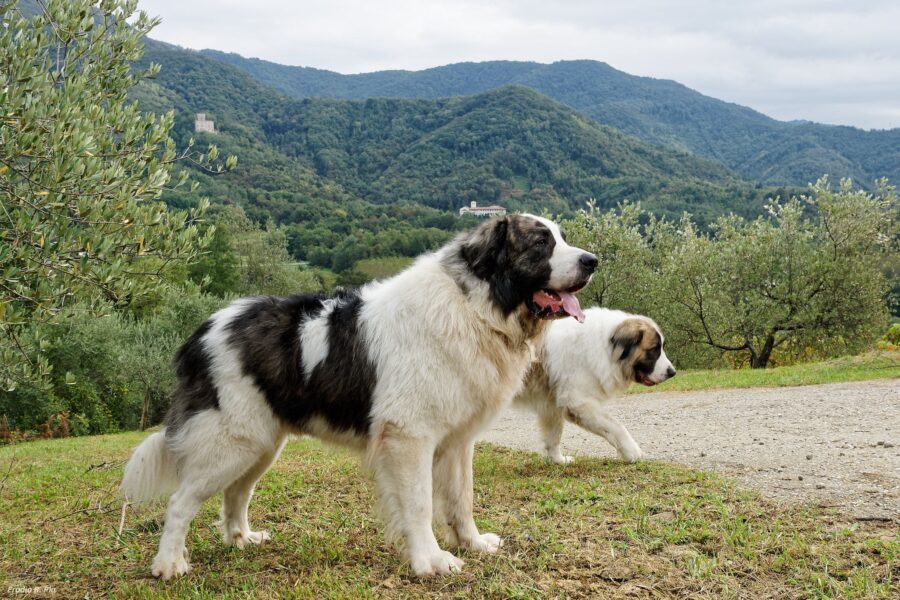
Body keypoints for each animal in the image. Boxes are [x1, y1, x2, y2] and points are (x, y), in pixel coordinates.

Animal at [121, 214, 596, 576]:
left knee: (235, 495)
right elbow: (420, 504)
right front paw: (430, 561)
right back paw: (168, 565)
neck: (474, 307)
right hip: (230, 442)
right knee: (181, 502)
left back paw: (242, 539)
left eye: (562, 237)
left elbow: (461, 499)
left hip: (260, 445)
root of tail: (203, 331)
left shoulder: (458, 441)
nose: (592, 261)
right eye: (540, 243)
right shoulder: (409, 438)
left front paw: (473, 543)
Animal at [512, 310, 676, 464]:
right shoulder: (578, 403)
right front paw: (631, 451)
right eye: (654, 349)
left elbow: (553, 437)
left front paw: (558, 460)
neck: (606, 348)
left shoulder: (553, 405)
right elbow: (616, 426)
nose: (672, 372)